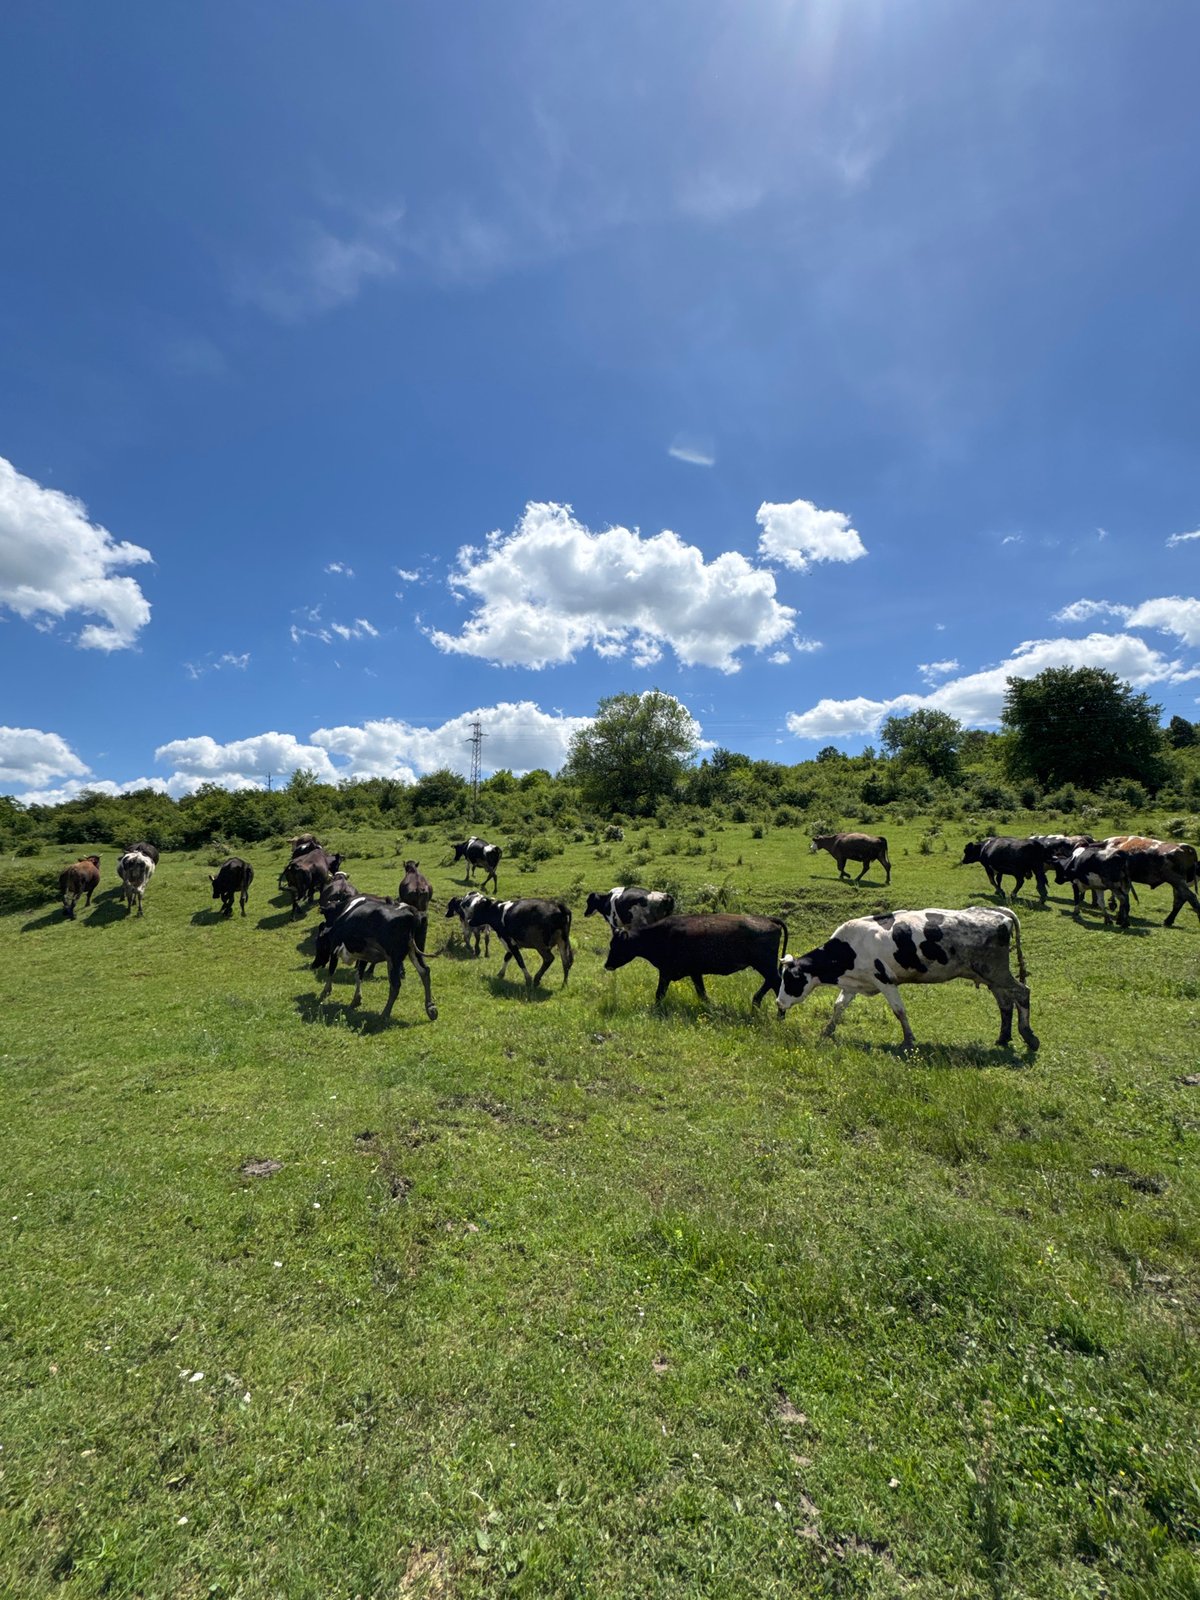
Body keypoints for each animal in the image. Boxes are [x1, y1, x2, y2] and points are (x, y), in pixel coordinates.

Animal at [604, 912, 788, 1008]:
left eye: (616, 945)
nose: (607, 965)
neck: (660, 934)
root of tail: (768, 919)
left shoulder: (666, 972)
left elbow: (659, 993)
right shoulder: (695, 972)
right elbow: (702, 993)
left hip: (765, 965)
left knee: (776, 982)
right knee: (771, 983)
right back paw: (757, 1003)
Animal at [777, 906, 1038, 1052]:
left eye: (790, 979)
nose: (779, 1003)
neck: (850, 947)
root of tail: (999, 912)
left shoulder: (885, 980)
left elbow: (899, 1011)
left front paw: (909, 1040)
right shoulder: (855, 983)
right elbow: (839, 1006)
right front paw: (828, 1031)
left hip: (996, 972)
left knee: (1022, 992)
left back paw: (1029, 1036)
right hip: (991, 976)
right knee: (1005, 1002)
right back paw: (1003, 1037)